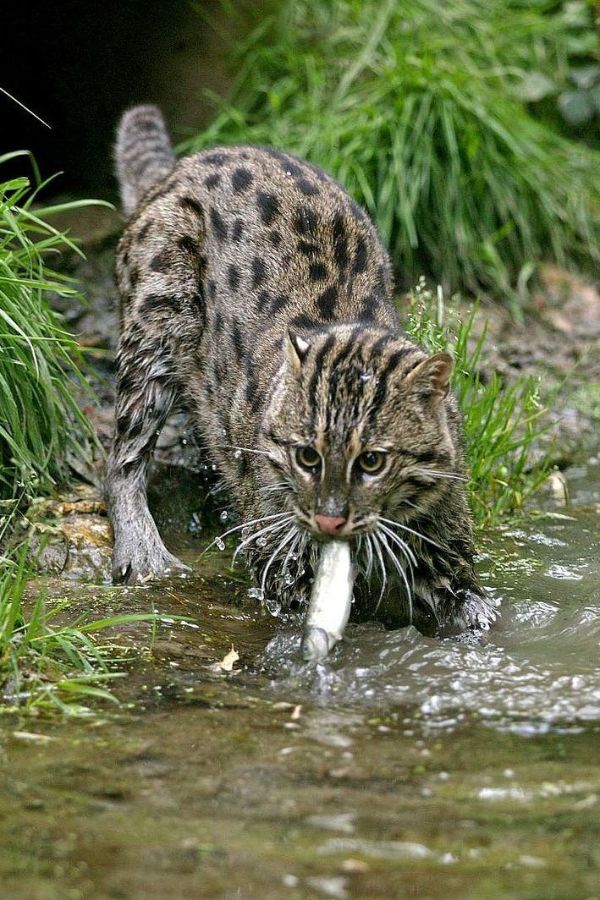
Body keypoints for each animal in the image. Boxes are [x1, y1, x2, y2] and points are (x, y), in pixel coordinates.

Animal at [106, 105, 496, 636]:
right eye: (306, 457)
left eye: (373, 462)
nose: (329, 521)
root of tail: (179, 168)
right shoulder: (278, 553)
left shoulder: (443, 537)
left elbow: (474, 606)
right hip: (157, 316)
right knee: (124, 454)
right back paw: (143, 552)